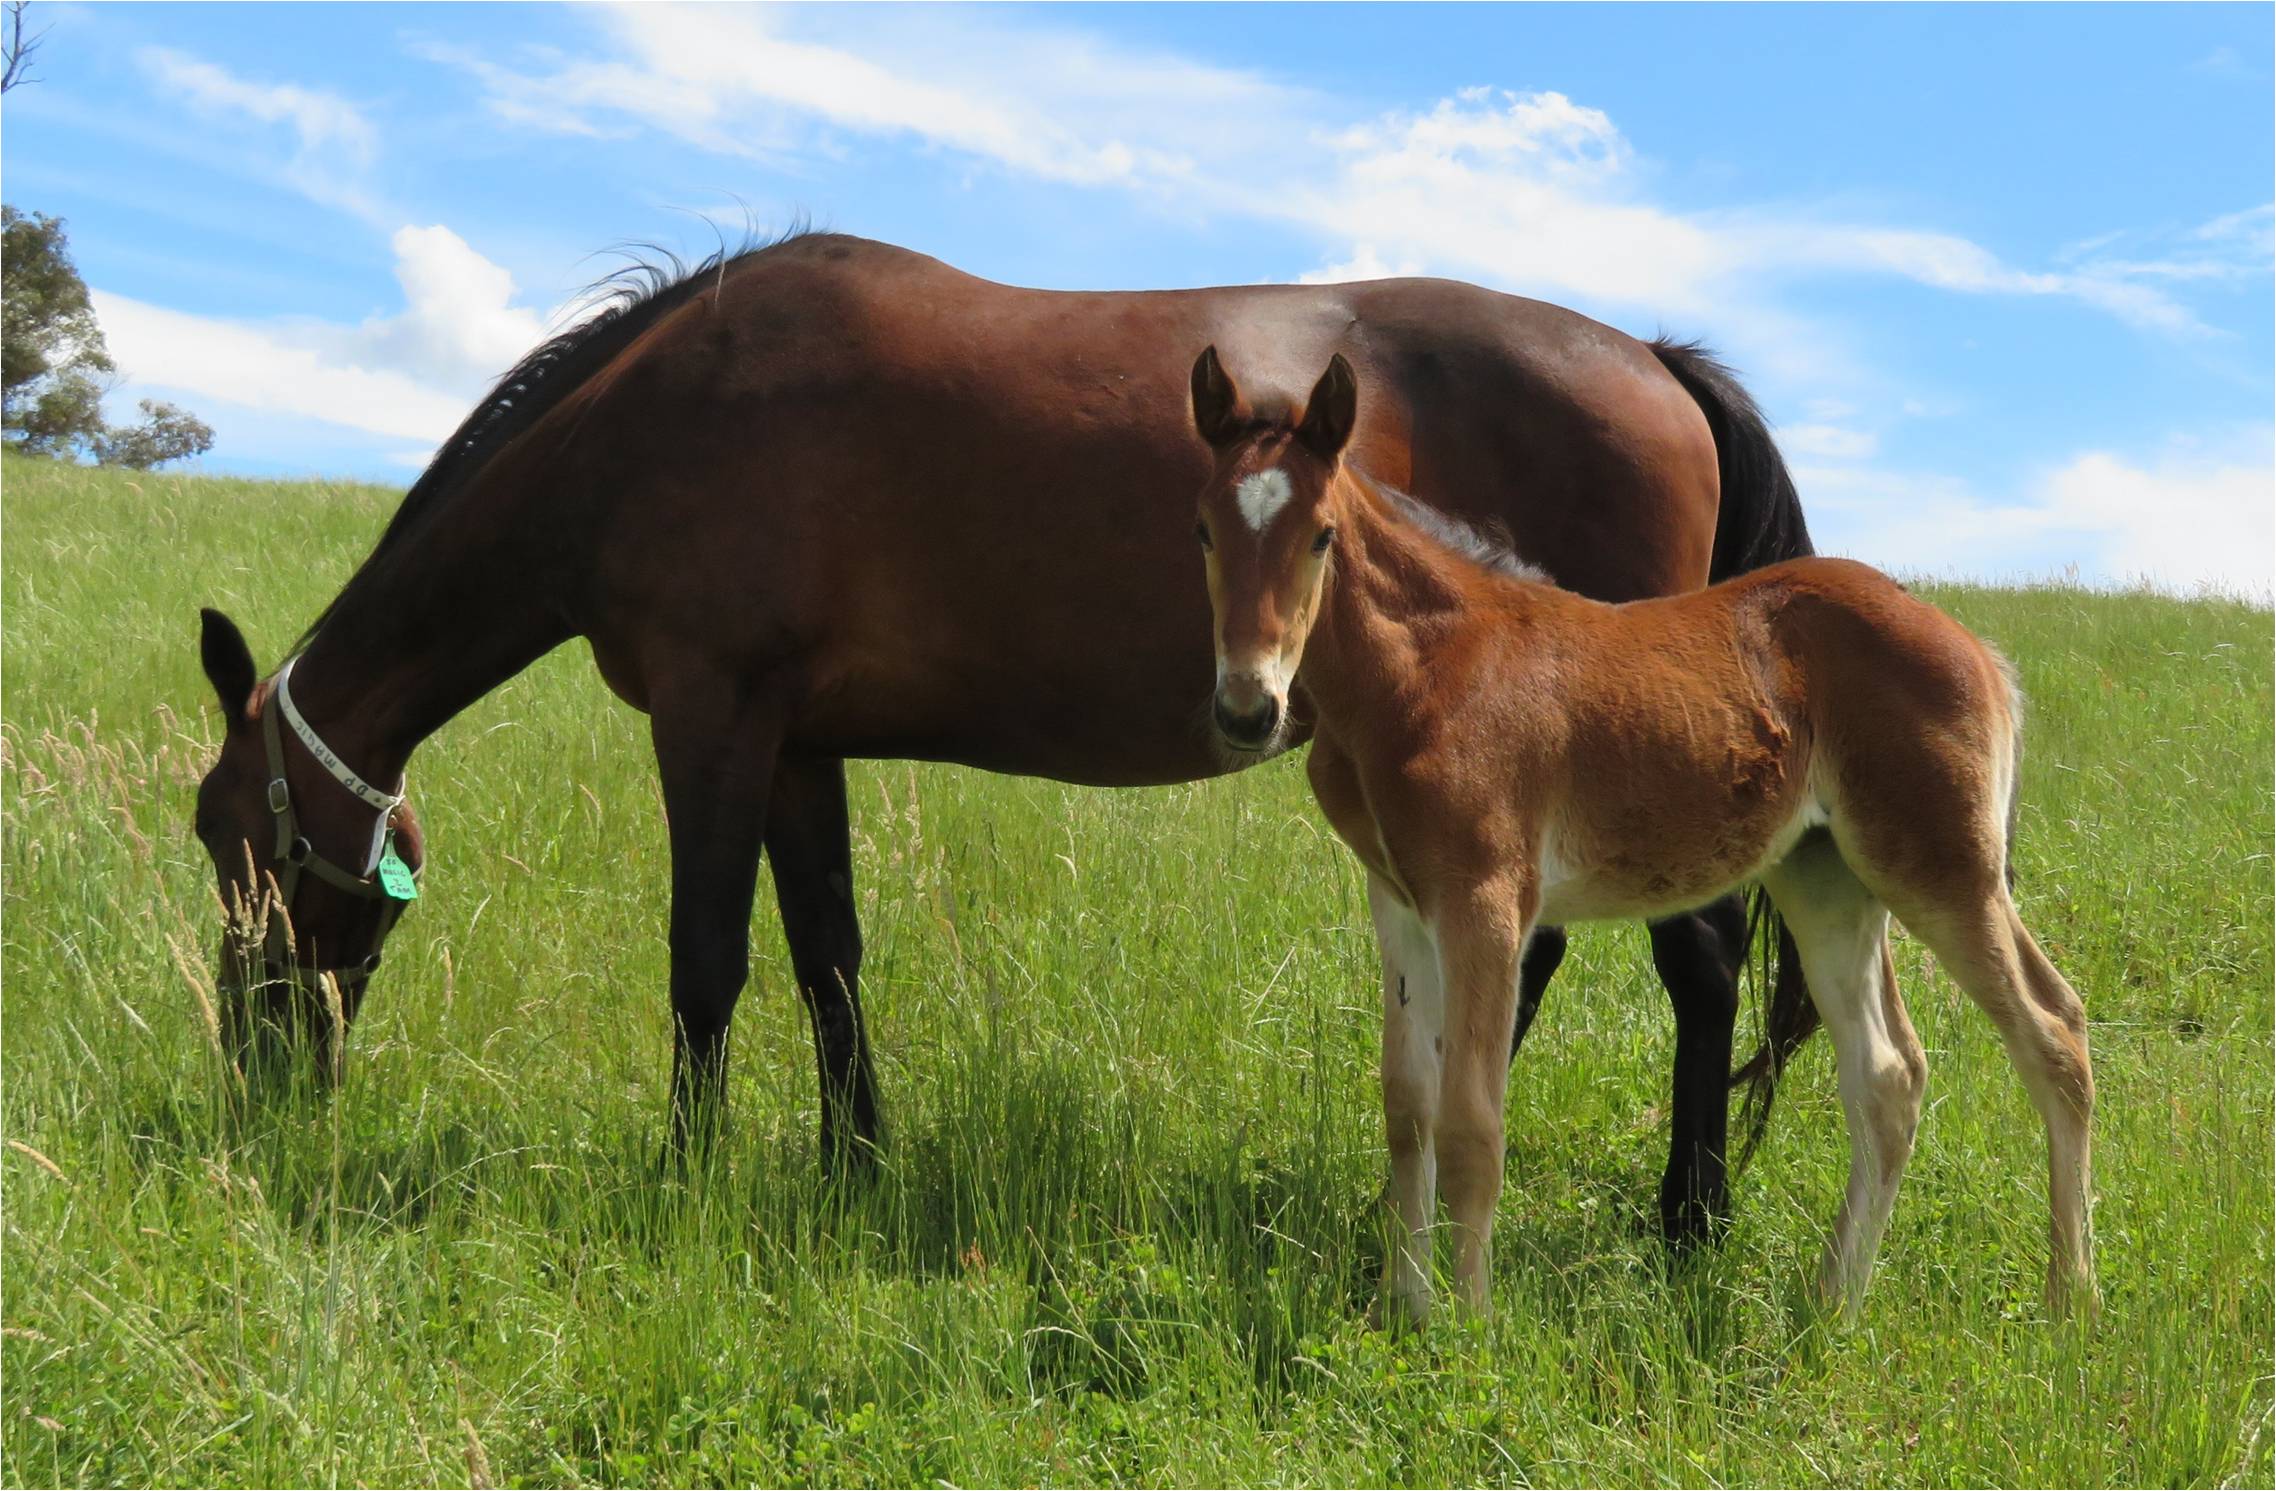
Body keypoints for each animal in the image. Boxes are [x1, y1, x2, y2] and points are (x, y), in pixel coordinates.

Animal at [189, 230, 1817, 1241]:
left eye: (223, 833)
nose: (254, 1063)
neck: (648, 426)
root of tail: (1655, 360)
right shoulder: (795, 745)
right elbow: (827, 956)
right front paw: (852, 1165)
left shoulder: (715, 721)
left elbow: (705, 961)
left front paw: (684, 1177)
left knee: (1695, 962)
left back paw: (1688, 1222)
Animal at [1184, 347, 2095, 1324]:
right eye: (1203, 530)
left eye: (1320, 535)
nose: (1247, 709)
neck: (1428, 672)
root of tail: (1982, 654)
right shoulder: (1398, 900)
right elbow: (1407, 1107)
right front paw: (1406, 1308)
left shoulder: (1487, 902)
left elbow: (1472, 1120)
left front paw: (1469, 1329)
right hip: (1827, 880)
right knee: (1888, 1075)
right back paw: (1830, 1308)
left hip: (1942, 870)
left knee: (2055, 1032)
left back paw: (2069, 1298)